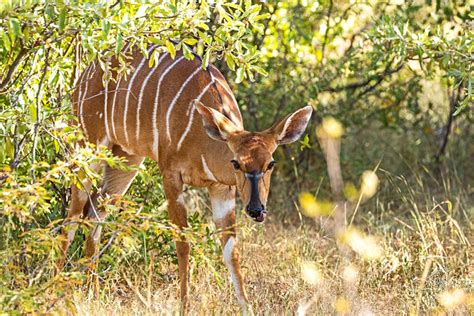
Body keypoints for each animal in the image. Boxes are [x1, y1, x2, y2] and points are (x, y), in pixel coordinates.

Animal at [58, 44, 312, 308]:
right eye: (236, 163)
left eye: (271, 163)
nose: (256, 209)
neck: (203, 140)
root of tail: (85, 75)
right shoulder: (171, 174)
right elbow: (183, 243)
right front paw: (184, 305)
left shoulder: (222, 189)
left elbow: (231, 250)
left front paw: (247, 307)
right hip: (89, 146)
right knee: (73, 215)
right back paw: (54, 287)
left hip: (126, 159)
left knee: (94, 213)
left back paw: (93, 295)